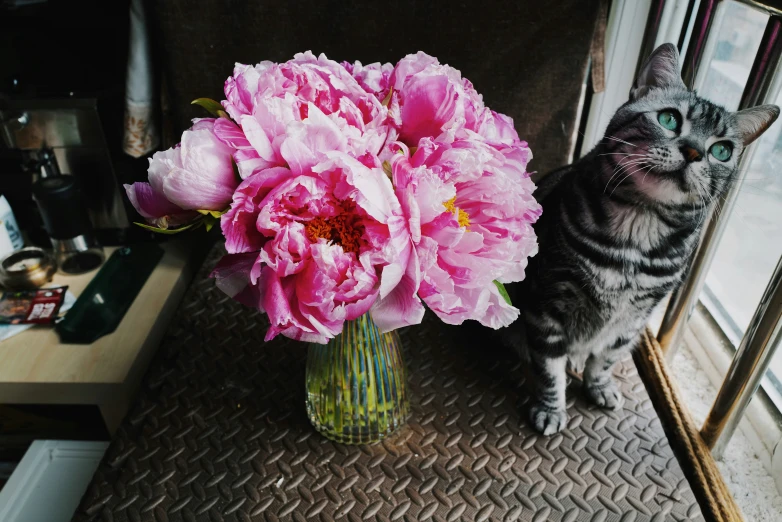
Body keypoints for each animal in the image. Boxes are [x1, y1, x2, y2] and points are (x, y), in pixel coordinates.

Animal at [512, 43, 780, 434]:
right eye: (669, 119)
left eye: (722, 150)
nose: (694, 151)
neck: (638, 230)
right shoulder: (547, 302)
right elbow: (549, 369)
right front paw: (550, 407)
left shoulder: (634, 318)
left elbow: (606, 358)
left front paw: (599, 386)